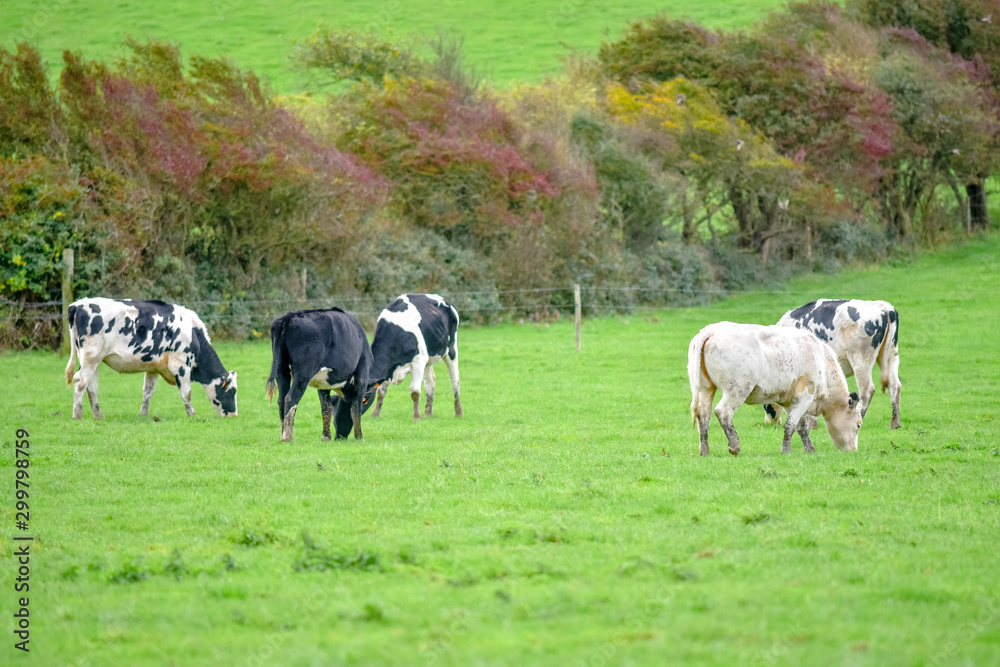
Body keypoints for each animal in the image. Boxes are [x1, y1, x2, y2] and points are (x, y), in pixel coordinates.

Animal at [66, 298, 238, 420]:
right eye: (231, 392)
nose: (233, 415)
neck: (193, 334)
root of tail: (78, 304)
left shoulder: (153, 367)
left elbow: (148, 391)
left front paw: (143, 414)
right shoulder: (181, 365)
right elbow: (186, 392)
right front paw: (192, 414)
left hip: (94, 361)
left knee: (91, 387)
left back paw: (98, 416)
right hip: (91, 358)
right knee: (80, 381)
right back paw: (77, 415)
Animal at [264, 308, 374, 444]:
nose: (340, 437)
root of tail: (290, 316)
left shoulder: (323, 384)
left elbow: (326, 408)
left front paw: (326, 436)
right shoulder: (362, 375)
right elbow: (356, 408)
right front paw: (359, 437)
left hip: (281, 369)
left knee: (281, 399)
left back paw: (283, 434)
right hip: (303, 373)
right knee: (290, 398)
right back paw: (287, 437)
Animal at [692, 320, 864, 456]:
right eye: (858, 425)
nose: (854, 450)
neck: (821, 361)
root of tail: (712, 330)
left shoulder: (793, 400)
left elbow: (801, 427)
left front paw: (809, 449)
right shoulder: (805, 395)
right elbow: (790, 426)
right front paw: (785, 450)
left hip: (706, 389)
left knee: (704, 417)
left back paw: (705, 451)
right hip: (737, 390)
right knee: (723, 411)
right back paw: (735, 446)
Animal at [760, 300, 904, 430]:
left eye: (765, 405)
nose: (769, 422)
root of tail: (884, 308)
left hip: (861, 359)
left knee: (867, 390)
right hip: (891, 355)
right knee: (895, 386)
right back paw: (895, 424)